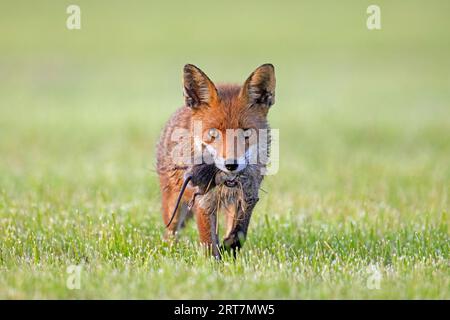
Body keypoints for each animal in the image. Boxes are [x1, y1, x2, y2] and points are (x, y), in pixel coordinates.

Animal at [156, 63, 274, 258]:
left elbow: (239, 233)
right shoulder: (203, 202)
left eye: (246, 132)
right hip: (173, 203)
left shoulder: (248, 195)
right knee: (171, 232)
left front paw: (230, 249)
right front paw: (214, 262)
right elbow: (209, 243)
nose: (231, 164)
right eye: (213, 133)